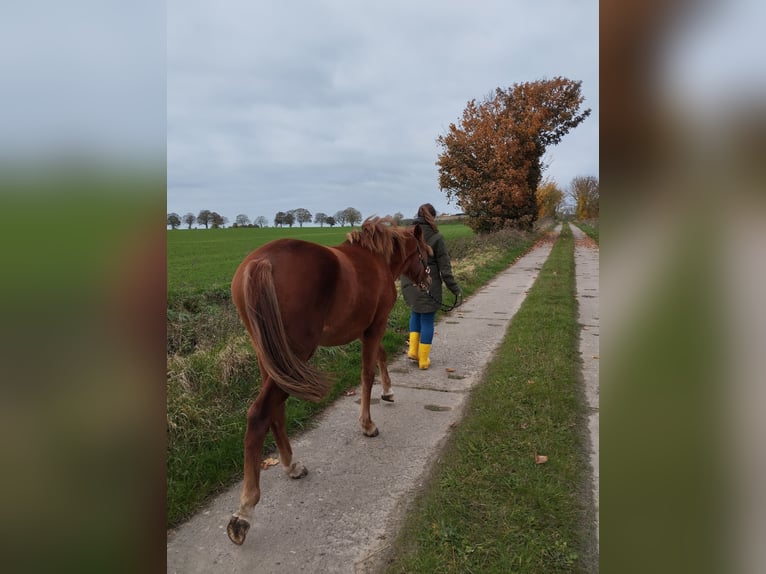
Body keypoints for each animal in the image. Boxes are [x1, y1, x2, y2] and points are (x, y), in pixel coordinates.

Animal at [226, 218, 432, 548]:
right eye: (425, 253)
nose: (427, 280)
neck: (376, 259)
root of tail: (261, 262)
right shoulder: (375, 326)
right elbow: (367, 373)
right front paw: (368, 424)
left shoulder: (367, 329)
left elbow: (381, 356)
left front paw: (388, 391)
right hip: (294, 354)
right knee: (260, 414)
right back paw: (244, 511)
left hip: (270, 357)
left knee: (275, 411)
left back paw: (291, 465)